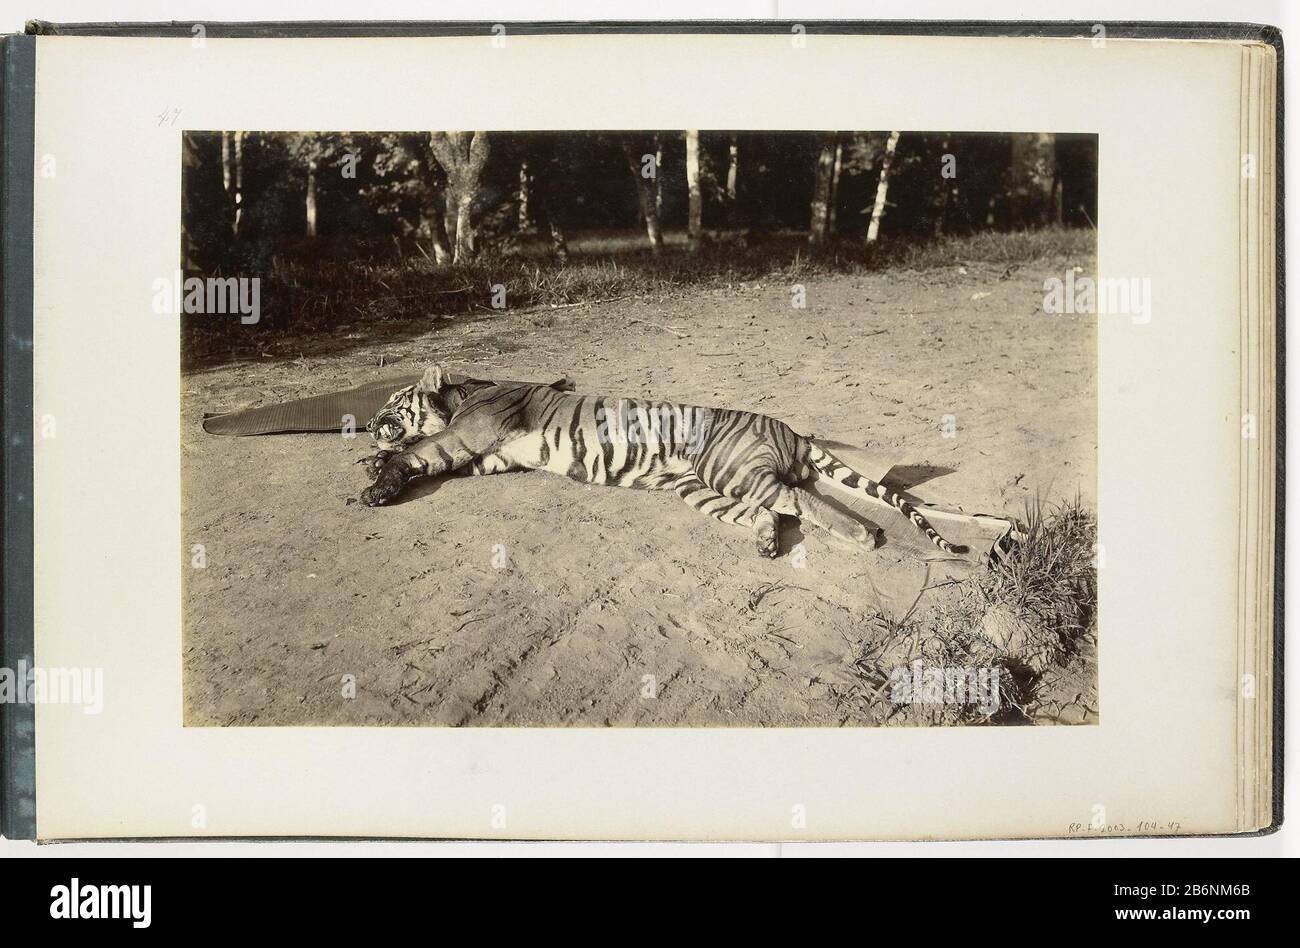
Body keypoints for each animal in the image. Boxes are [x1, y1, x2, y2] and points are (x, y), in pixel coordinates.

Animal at [361, 361, 972, 553]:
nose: (366, 422)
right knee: (772, 511)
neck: (465, 393)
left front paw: (375, 482)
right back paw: (766, 542)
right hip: (699, 486)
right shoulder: (494, 456)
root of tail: (790, 429)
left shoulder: (465, 436)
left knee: (800, 499)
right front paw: (374, 468)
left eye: (392, 401)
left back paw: (860, 535)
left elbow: (417, 453)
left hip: (728, 470)